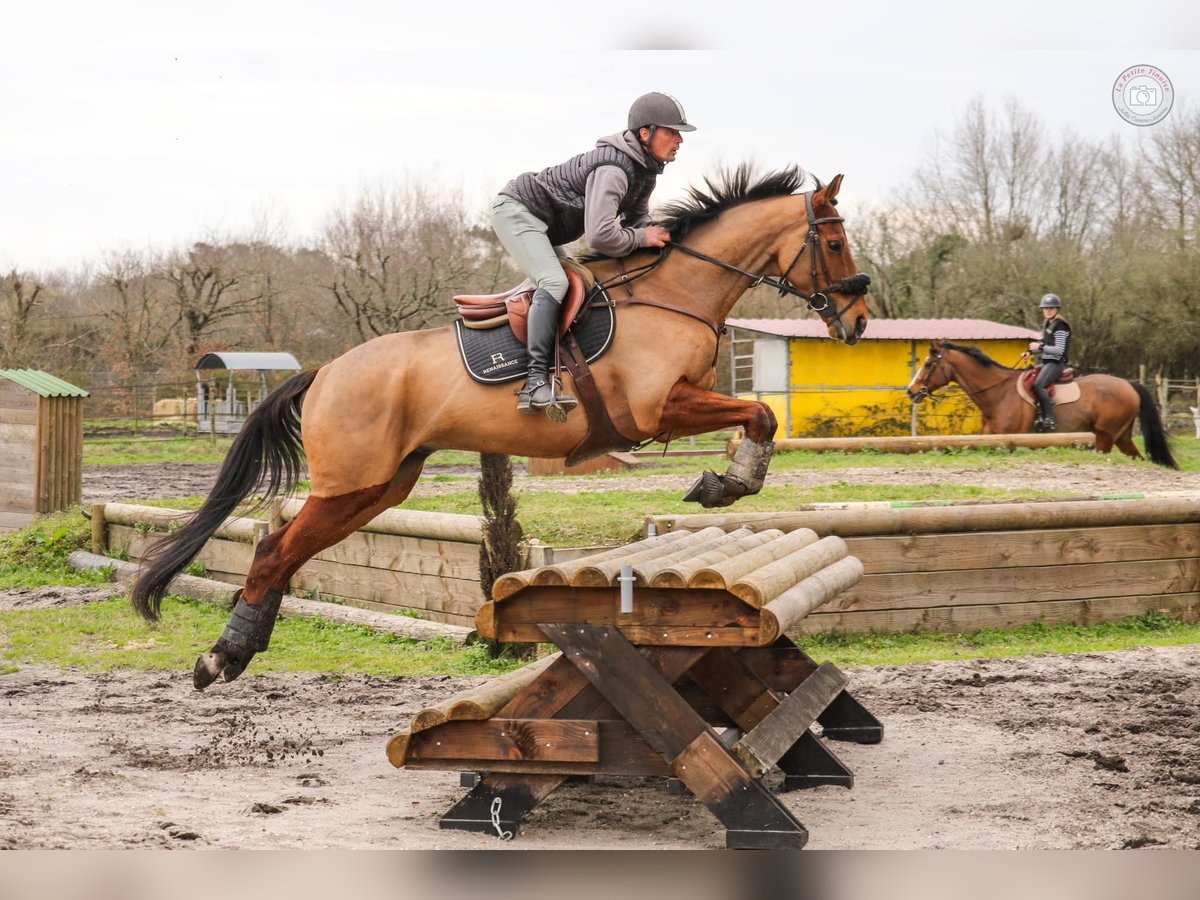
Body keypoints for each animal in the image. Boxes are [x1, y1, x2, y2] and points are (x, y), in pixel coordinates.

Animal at [131, 164, 873, 691]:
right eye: (834, 241)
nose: (860, 321)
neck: (675, 294)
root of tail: (325, 371)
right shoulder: (657, 408)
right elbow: (761, 413)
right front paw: (728, 481)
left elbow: (759, 415)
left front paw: (728, 477)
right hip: (351, 484)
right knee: (273, 554)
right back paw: (220, 658)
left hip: (379, 488)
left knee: (285, 552)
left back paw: (237, 651)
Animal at [907, 340, 1171, 468]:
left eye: (929, 364)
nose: (911, 391)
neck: (999, 393)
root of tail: (1129, 384)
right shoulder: (992, 441)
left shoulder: (1016, 441)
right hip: (1122, 437)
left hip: (1104, 438)